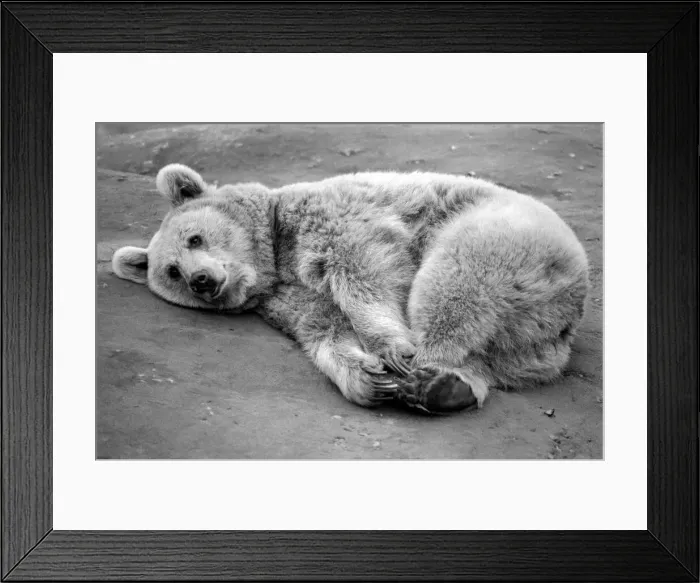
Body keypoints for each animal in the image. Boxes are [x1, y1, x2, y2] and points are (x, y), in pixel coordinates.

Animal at [112, 163, 589, 414]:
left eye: (195, 238)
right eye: (172, 271)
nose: (202, 280)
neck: (275, 254)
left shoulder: (335, 216)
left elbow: (364, 270)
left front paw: (393, 353)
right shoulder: (284, 296)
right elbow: (323, 326)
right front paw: (369, 378)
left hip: (505, 236)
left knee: (454, 283)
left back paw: (426, 372)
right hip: (533, 347)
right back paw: (446, 387)